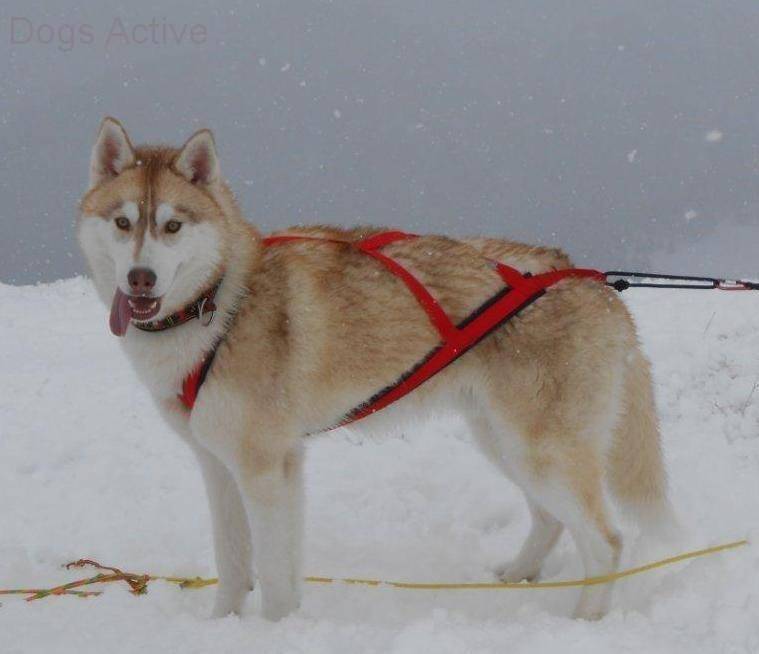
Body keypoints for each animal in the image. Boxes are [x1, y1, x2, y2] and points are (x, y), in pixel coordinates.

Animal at [75, 118, 672, 624]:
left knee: (606, 540)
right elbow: (238, 561)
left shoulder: (264, 468)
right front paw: (224, 624)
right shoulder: (223, 466)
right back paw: (519, 575)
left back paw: (585, 621)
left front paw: (273, 629)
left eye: (173, 225)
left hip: (541, 451)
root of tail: (591, 281)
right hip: (504, 442)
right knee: (551, 520)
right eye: (123, 222)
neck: (219, 304)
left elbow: (272, 568)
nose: (141, 278)